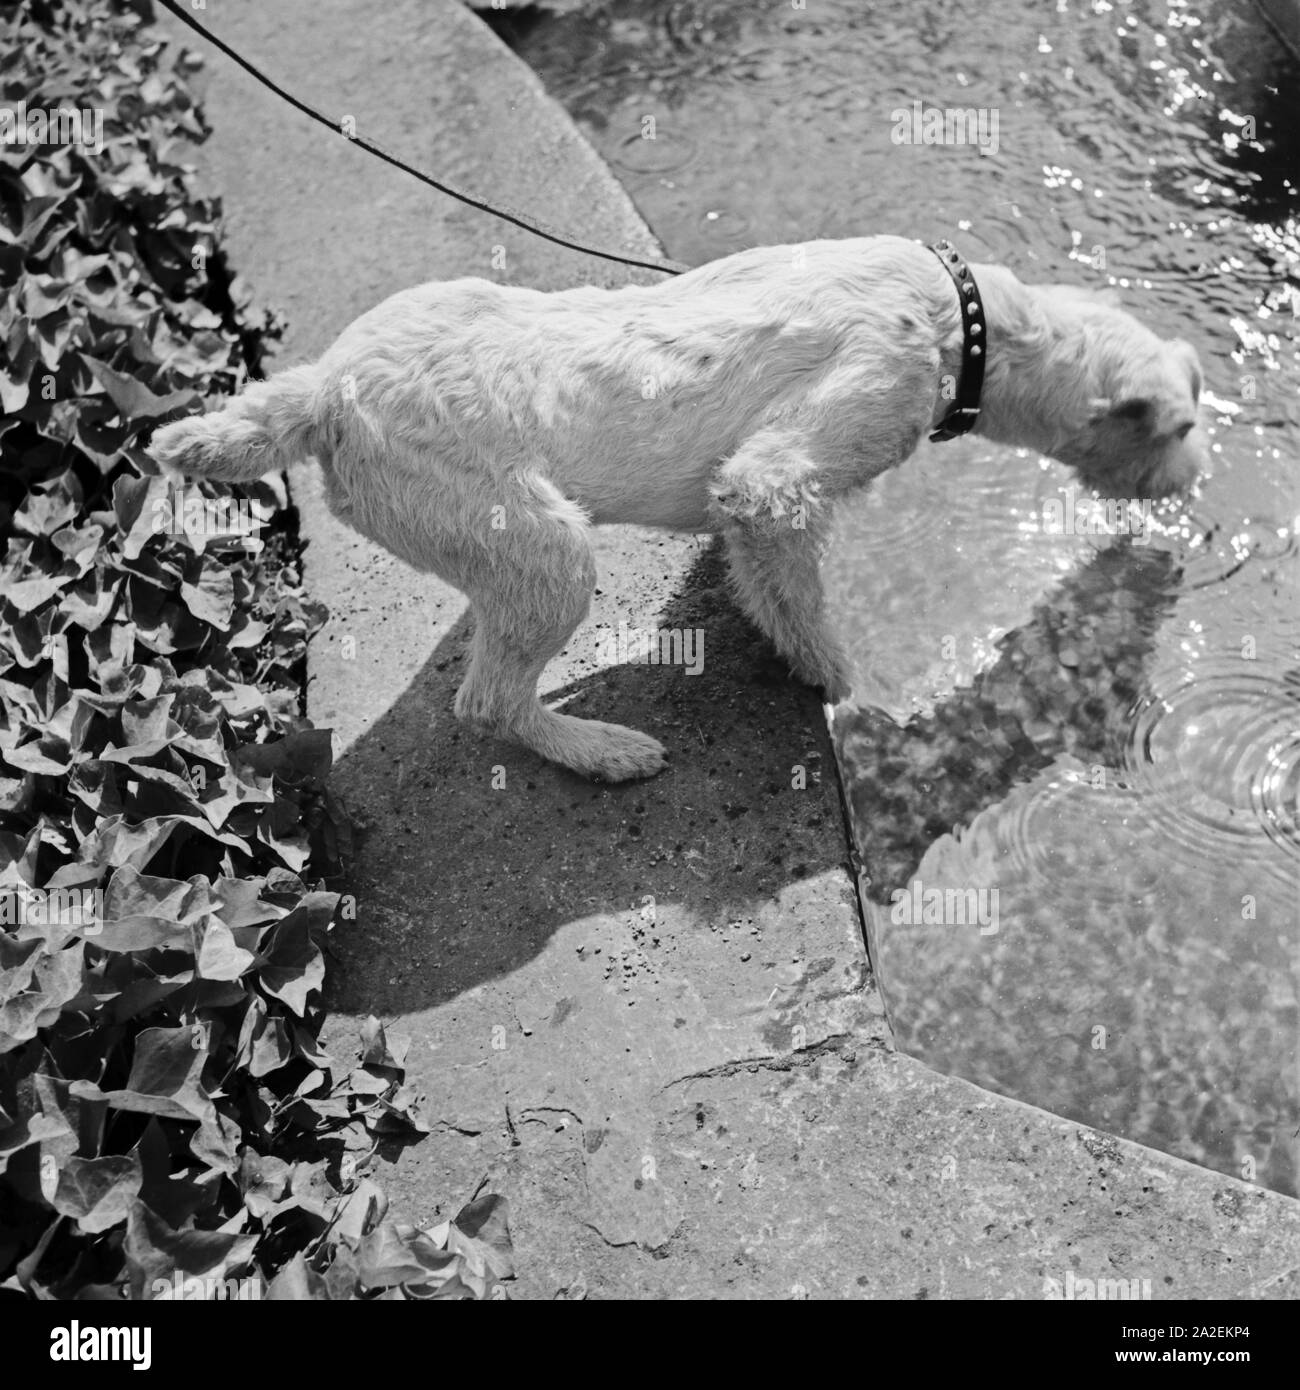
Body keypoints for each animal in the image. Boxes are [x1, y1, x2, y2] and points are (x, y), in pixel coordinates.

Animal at [147, 236, 1206, 783]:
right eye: (1186, 425)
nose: (1197, 491)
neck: (967, 321)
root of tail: (323, 390)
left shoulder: (751, 497)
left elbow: (753, 565)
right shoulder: (788, 466)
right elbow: (800, 591)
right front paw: (839, 683)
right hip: (547, 550)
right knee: (489, 702)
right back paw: (600, 750)